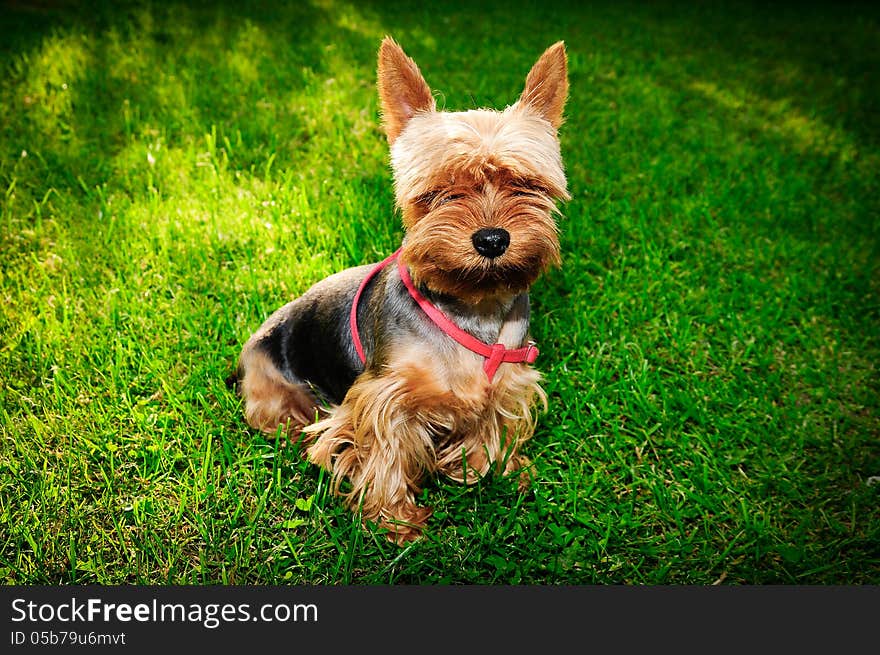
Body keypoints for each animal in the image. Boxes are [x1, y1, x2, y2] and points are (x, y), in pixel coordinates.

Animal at [237, 38, 572, 544]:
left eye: (526, 185)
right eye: (438, 193)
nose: (492, 239)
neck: (470, 307)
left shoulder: (509, 379)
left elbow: (492, 424)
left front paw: (494, 468)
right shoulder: (383, 395)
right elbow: (384, 450)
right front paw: (395, 521)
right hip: (271, 379)